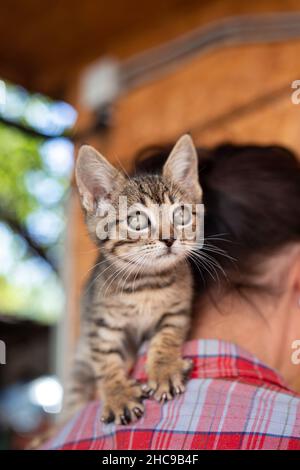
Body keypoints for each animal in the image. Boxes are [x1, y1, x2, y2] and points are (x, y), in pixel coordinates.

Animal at [66, 134, 203, 424]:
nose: (169, 239)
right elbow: (105, 360)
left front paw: (163, 370)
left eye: (181, 215)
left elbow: (168, 336)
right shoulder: (100, 324)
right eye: (138, 221)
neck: (145, 285)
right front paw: (118, 396)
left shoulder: (177, 310)